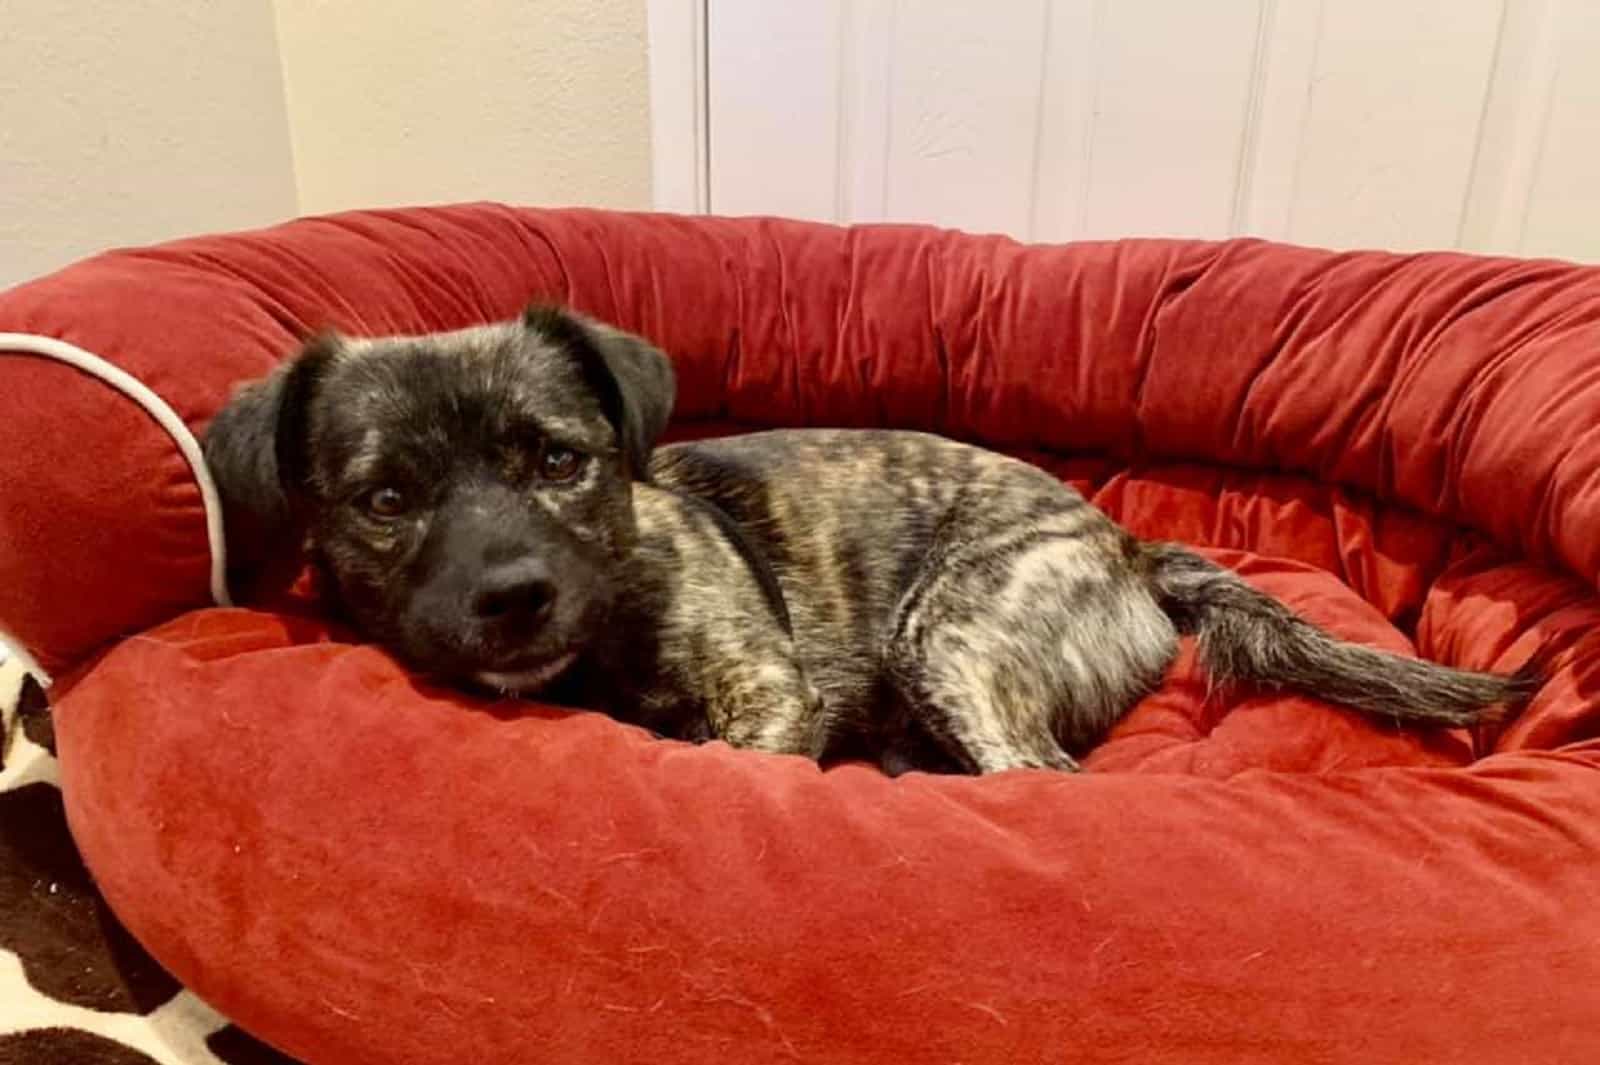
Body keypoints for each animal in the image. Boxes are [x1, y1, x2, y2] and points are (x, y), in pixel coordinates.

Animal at [203, 305, 1536, 770]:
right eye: (384, 500)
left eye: (559, 461)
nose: (514, 597)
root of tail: (1126, 548)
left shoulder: (766, 692)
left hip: (947, 635)